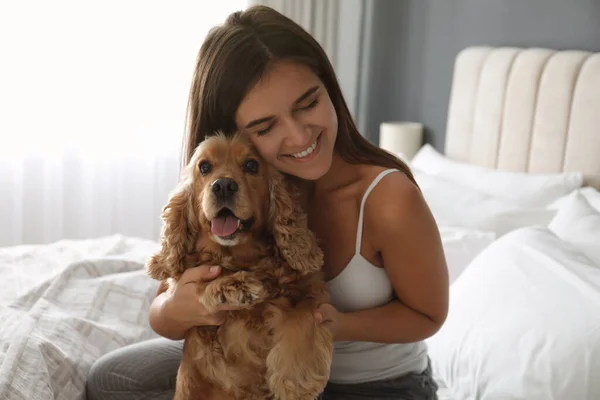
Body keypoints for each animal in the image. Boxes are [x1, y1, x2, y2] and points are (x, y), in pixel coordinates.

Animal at [145, 133, 332, 398]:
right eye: (204, 167)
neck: (240, 256)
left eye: (251, 165)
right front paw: (234, 286)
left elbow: (304, 316)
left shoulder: (313, 289)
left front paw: (296, 381)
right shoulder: (183, 282)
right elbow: (202, 276)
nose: (223, 185)